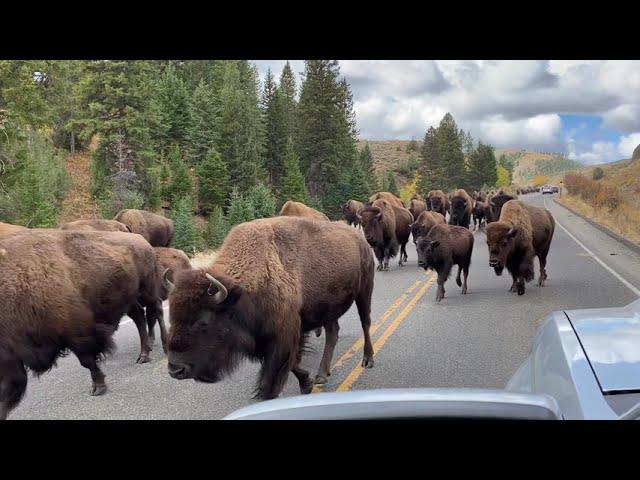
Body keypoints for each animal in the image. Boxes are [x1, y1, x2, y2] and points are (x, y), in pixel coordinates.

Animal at [0, 231, 165, 418]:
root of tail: (141, 240)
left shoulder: (78, 334)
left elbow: (87, 360)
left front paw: (98, 387)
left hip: (147, 291)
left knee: (156, 309)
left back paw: (162, 346)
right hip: (129, 299)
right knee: (139, 316)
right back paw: (143, 355)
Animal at [165, 216, 376, 400]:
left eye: (203, 321)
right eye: (172, 318)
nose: (176, 369)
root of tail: (359, 238)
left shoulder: (283, 336)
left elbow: (278, 370)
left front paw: (269, 393)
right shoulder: (267, 338)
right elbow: (292, 364)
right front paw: (307, 383)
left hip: (365, 291)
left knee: (365, 323)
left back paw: (367, 360)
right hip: (327, 309)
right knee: (333, 332)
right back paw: (322, 375)